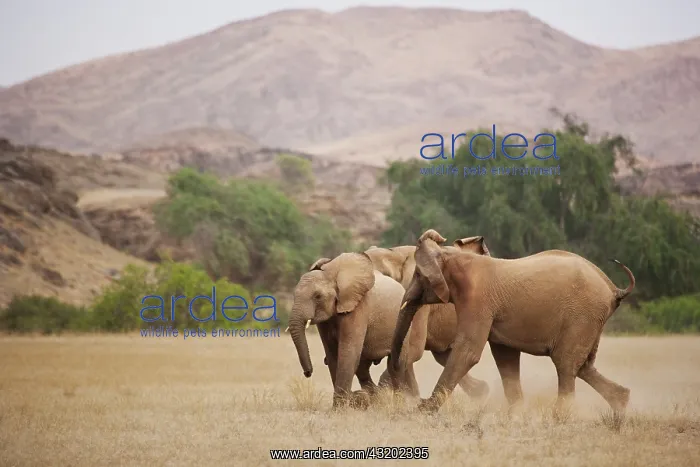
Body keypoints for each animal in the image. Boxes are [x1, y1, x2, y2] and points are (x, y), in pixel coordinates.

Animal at [288, 252, 412, 408]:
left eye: (317, 296)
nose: (308, 372)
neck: (334, 275)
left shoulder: (358, 306)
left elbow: (347, 353)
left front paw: (339, 409)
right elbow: (333, 354)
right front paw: (345, 404)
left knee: (396, 363)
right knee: (363, 367)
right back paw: (374, 398)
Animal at [390, 229, 636, 414]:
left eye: (419, 276)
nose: (412, 400)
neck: (453, 256)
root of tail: (614, 289)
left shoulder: (477, 301)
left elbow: (467, 351)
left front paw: (423, 411)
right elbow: (505, 356)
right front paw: (516, 415)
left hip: (582, 317)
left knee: (566, 364)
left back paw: (559, 419)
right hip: (591, 321)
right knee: (582, 366)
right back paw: (619, 412)